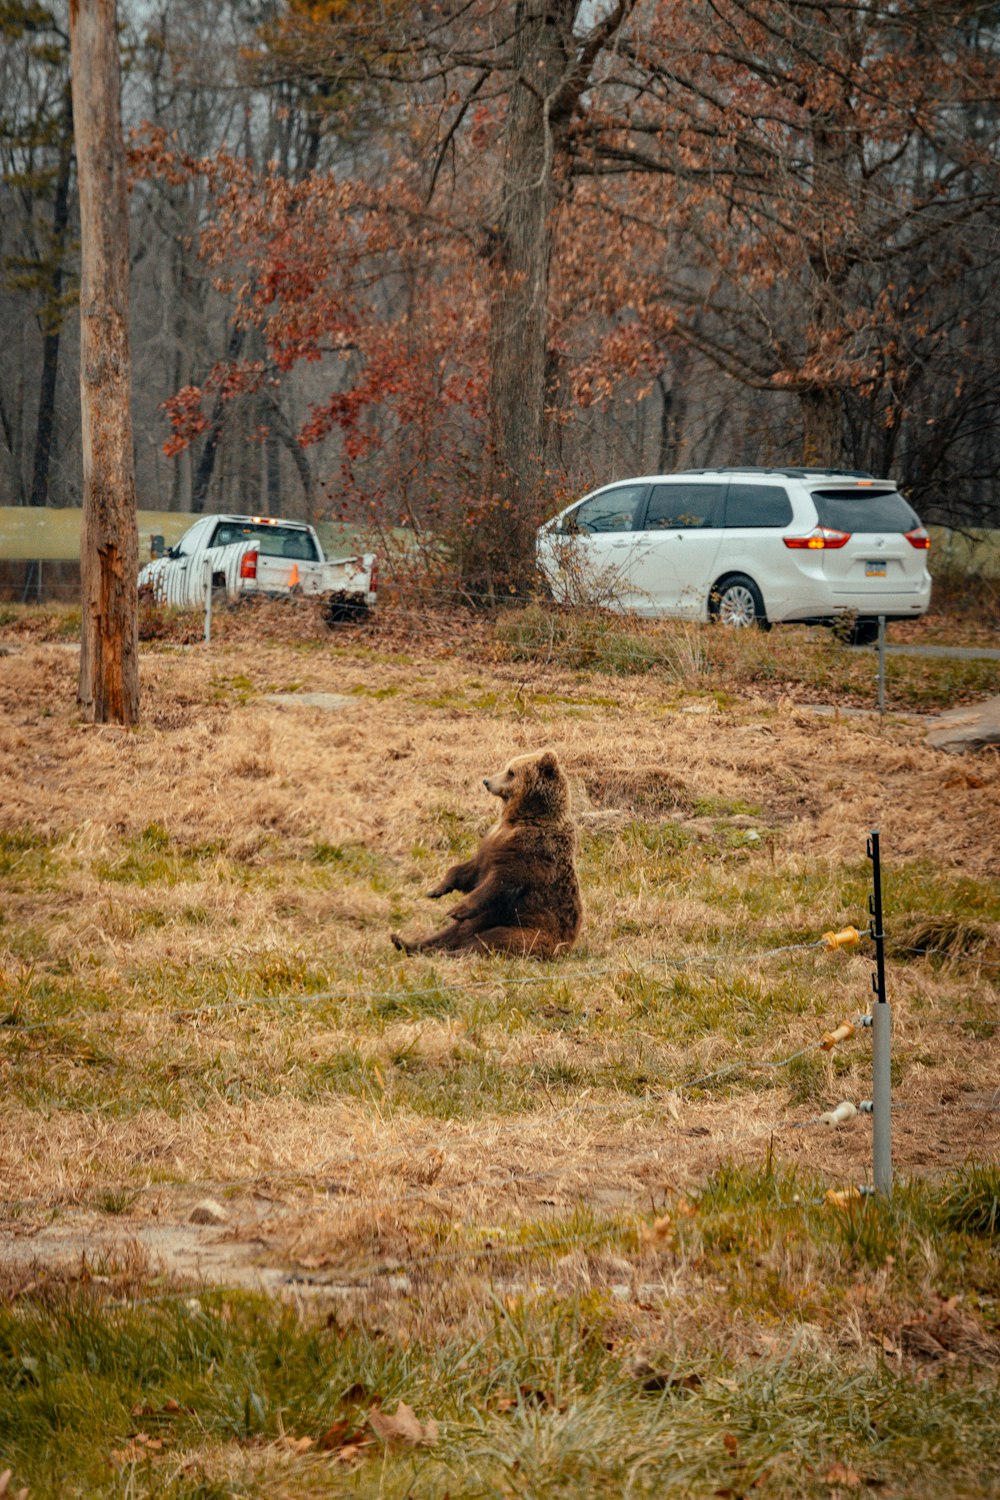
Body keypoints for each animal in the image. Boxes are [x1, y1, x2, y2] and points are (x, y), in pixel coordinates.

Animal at [389, 750, 581, 960]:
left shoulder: (531, 852)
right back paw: (404, 943)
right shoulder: (492, 846)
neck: (522, 818)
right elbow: (470, 870)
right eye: (507, 767)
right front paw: (437, 889)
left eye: (511, 772)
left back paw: (452, 952)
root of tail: (566, 946)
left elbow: (500, 882)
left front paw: (457, 909)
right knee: (452, 933)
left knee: (490, 941)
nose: (486, 781)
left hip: (526, 930)